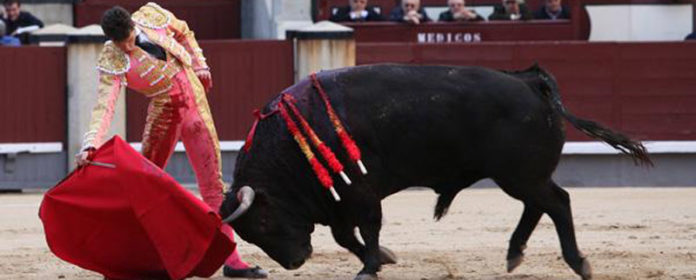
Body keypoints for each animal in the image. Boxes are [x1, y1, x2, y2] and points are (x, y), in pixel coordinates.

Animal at [220, 64, 648, 280]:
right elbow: (346, 236)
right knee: (539, 205)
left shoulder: (361, 190)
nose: (295, 263)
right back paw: (514, 255)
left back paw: (578, 263)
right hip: (522, 177)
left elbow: (368, 228)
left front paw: (370, 268)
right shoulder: (336, 198)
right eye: (250, 233)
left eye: (263, 222)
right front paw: (382, 259)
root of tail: (528, 80)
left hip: (521, 175)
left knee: (557, 203)